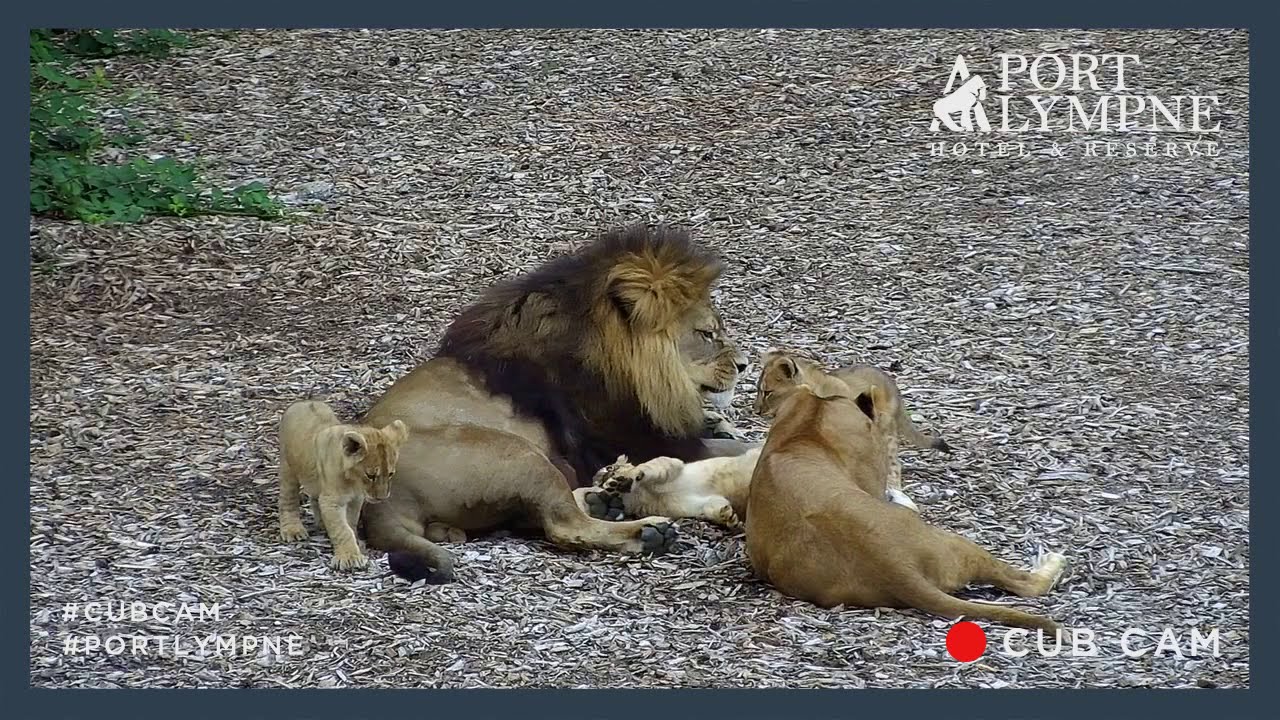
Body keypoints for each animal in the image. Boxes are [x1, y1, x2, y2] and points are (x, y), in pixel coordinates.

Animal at [277, 400, 410, 571]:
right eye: (371, 475)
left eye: (391, 474)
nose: (382, 498)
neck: (353, 481)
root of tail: (304, 402)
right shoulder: (332, 501)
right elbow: (342, 529)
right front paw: (350, 557)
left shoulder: (356, 499)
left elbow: (350, 522)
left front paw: (356, 545)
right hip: (288, 468)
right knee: (288, 499)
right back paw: (292, 529)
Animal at [358, 225, 752, 582]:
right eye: (707, 333)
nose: (744, 365)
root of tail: (382, 501)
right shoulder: (643, 441)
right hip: (520, 454)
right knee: (564, 526)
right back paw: (647, 531)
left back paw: (604, 501)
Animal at [745, 351, 1068, 630]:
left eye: (767, 393)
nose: (758, 409)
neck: (804, 432)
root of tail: (894, 566)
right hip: (953, 542)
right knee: (1028, 585)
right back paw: (1053, 562)